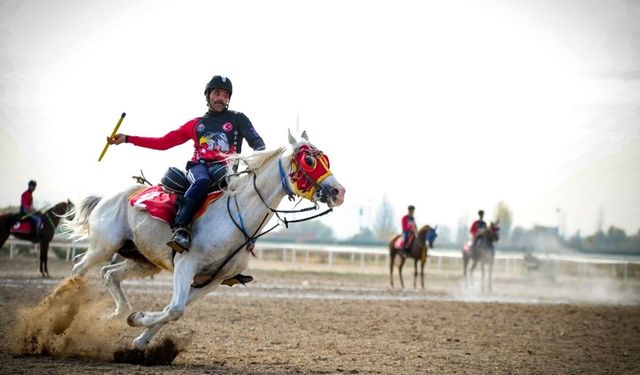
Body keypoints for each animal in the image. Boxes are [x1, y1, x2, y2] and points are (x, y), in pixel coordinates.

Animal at [62, 131, 344, 348]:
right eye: (309, 160)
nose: (338, 191)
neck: (235, 218)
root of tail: (107, 198)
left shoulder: (212, 280)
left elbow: (173, 310)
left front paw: (140, 337)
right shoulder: (186, 265)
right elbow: (175, 309)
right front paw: (137, 319)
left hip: (142, 260)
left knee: (109, 274)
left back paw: (117, 313)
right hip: (104, 246)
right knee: (79, 268)